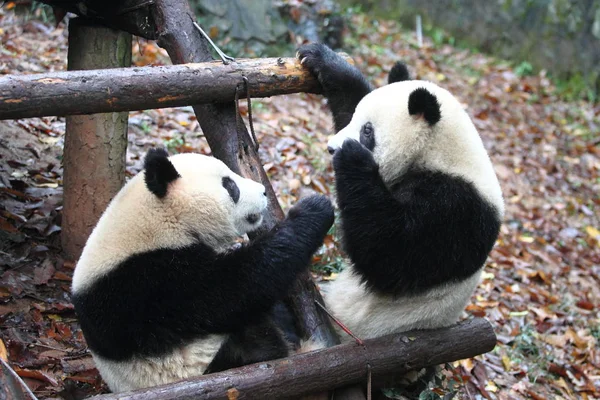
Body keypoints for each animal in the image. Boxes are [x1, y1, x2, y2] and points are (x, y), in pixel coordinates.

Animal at [71, 148, 336, 392]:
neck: (157, 220)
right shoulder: (150, 282)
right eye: (230, 186)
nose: (262, 191)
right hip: (204, 363)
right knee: (255, 337)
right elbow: (236, 287)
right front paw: (315, 208)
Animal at [298, 44, 504, 340]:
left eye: (368, 131)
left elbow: (393, 254)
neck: (439, 151)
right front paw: (322, 58)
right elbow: (349, 98)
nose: (332, 147)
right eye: (356, 120)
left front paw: (352, 156)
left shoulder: (459, 206)